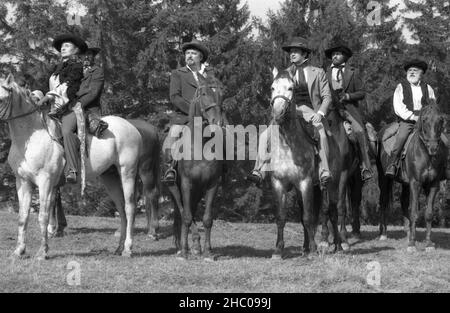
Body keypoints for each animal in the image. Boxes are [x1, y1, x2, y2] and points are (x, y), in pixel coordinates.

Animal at [0, 73, 144, 258]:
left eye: (2, 98)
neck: (31, 138)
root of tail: (133, 128)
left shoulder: (45, 182)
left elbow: (43, 215)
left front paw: (42, 252)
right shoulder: (23, 182)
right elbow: (23, 217)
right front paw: (18, 251)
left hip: (127, 173)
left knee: (129, 207)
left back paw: (127, 249)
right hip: (109, 177)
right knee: (121, 208)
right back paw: (118, 248)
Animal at [167, 73, 225, 260]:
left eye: (222, 94)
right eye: (204, 93)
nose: (217, 122)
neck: (201, 143)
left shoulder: (212, 184)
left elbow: (207, 219)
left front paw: (208, 252)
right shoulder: (186, 183)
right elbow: (186, 216)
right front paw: (185, 252)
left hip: (198, 190)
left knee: (190, 209)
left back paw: (196, 246)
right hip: (174, 187)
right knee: (183, 210)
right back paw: (183, 247)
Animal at [268, 67, 342, 256]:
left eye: (290, 88)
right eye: (272, 87)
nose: (278, 113)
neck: (288, 145)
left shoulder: (305, 182)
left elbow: (309, 217)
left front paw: (315, 250)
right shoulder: (278, 183)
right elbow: (281, 217)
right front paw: (278, 250)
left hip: (332, 184)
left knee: (332, 212)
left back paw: (338, 246)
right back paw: (306, 247)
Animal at [378, 103, 448, 251]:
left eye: (440, 120)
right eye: (424, 120)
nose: (433, 147)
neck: (426, 154)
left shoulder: (433, 185)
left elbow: (428, 214)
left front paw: (428, 243)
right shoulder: (415, 183)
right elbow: (414, 213)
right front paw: (412, 244)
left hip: (405, 183)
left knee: (403, 202)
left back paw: (408, 233)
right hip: (384, 178)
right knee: (383, 201)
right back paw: (383, 234)